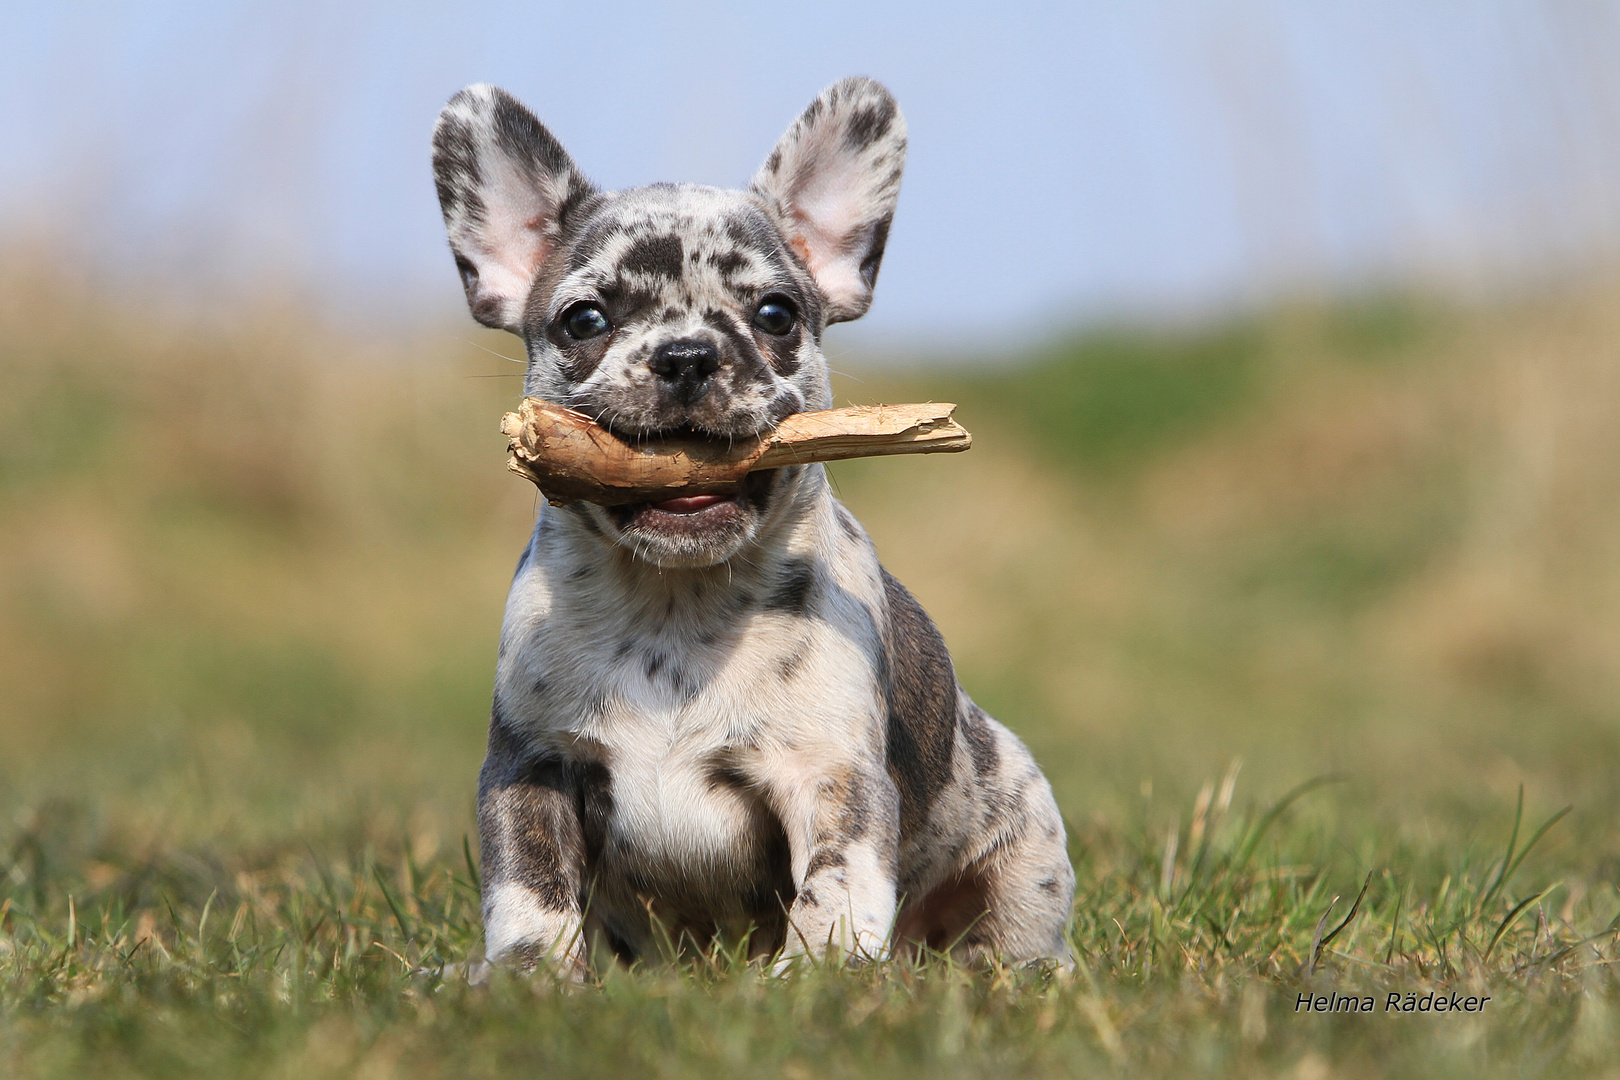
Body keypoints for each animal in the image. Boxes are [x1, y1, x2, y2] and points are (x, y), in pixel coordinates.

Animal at [430, 76, 1075, 971]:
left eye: (775, 314)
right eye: (585, 320)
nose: (687, 355)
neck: (674, 603)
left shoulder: (832, 777)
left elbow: (836, 884)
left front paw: (817, 973)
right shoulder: (532, 766)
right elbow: (529, 889)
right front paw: (524, 974)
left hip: (1022, 826)